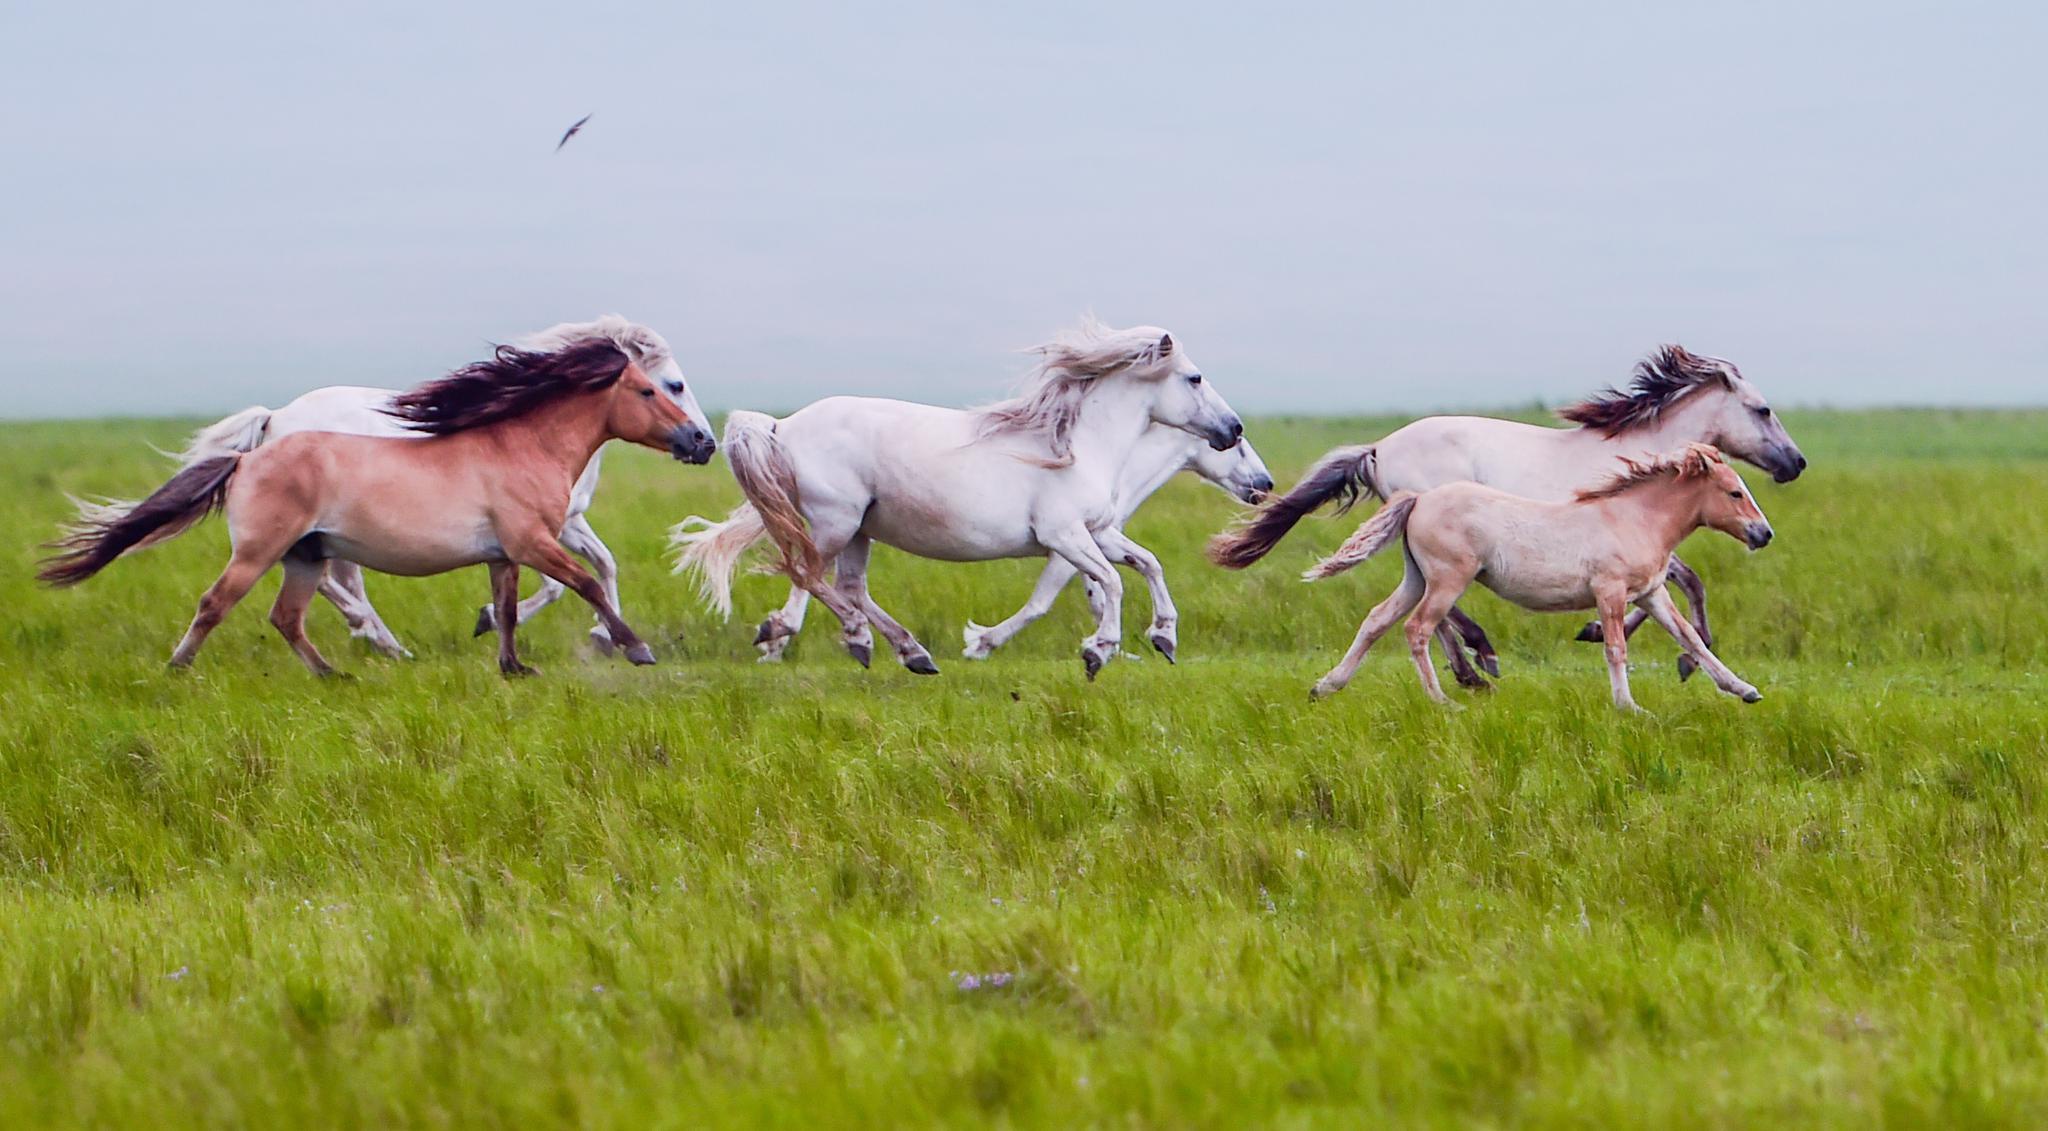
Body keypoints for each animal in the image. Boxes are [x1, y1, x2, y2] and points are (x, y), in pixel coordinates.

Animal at [37, 336, 720, 672]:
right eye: (654, 388)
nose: (702, 442)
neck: (519, 444)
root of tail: (250, 454)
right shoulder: (534, 541)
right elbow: (587, 583)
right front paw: (634, 648)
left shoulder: (505, 553)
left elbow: (507, 607)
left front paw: (512, 666)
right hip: (263, 551)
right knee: (218, 603)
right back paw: (180, 668)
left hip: (304, 556)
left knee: (288, 616)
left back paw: (335, 672)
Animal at [679, 315, 1236, 680]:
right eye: (1194, 377)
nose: (1233, 428)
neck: (1079, 445)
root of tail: (783, 424)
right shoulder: (1065, 535)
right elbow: (1113, 582)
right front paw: (1099, 650)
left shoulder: (1097, 532)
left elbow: (1147, 564)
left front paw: (1164, 637)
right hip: (836, 521)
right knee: (810, 574)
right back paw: (814, 633)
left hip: (860, 528)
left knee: (849, 586)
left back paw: (910, 652)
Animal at [1212, 344, 1810, 684]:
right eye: (1763, 410)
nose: (1797, 463)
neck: (1643, 453)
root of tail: (1379, 447)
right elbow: (1691, 583)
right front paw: (1677, 657)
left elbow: (1676, 587)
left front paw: (1608, 632)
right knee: (1435, 613)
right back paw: (1479, 661)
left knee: (1423, 610)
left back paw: (1470, 668)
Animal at [1212, 446, 1777, 713]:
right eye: (1733, 492)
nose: (1764, 533)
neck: (1632, 517)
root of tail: (1419, 498)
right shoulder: (1610, 591)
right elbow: (1616, 648)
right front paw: (1629, 707)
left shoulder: (1652, 593)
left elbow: (1693, 641)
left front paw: (1745, 690)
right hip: (1448, 580)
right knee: (1418, 630)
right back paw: (1445, 699)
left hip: (1416, 579)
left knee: (1376, 621)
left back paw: (1326, 686)